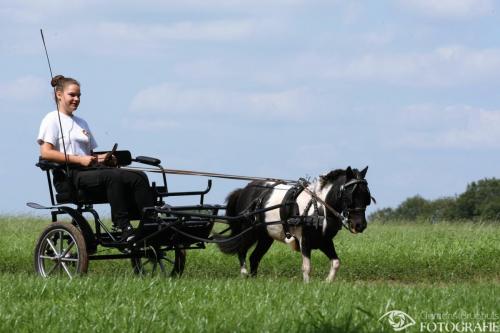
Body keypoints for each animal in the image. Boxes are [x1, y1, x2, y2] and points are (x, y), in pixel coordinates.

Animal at [217, 166, 374, 280]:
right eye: (351, 194)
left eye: (367, 196)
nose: (360, 225)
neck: (319, 207)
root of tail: (244, 190)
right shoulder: (304, 240)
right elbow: (307, 267)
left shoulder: (324, 241)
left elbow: (336, 263)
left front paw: (327, 282)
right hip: (248, 230)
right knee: (242, 250)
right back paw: (244, 274)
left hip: (265, 237)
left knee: (254, 257)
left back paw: (254, 279)